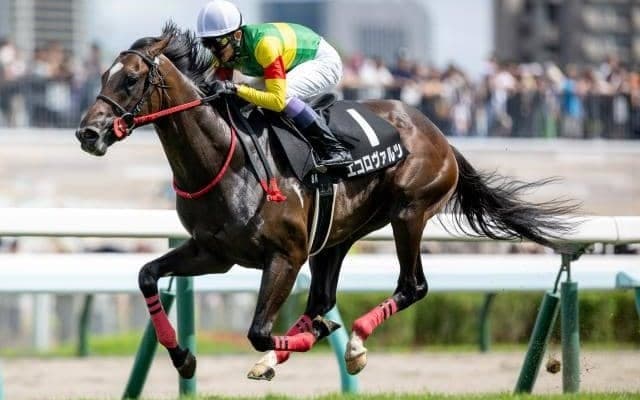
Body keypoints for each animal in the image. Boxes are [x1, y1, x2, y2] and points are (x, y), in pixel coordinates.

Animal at [75, 23, 577, 380]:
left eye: (131, 79)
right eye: (103, 76)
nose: (88, 133)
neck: (226, 160)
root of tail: (439, 134)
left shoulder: (285, 255)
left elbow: (258, 331)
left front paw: (317, 337)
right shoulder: (213, 253)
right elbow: (147, 275)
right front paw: (183, 358)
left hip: (409, 213)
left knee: (412, 286)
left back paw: (352, 342)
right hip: (337, 236)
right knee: (322, 297)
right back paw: (297, 351)